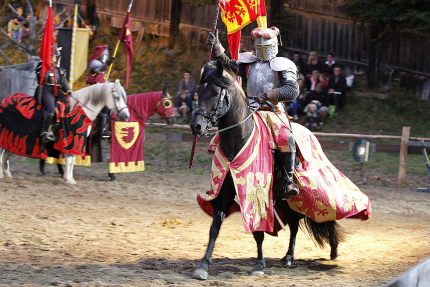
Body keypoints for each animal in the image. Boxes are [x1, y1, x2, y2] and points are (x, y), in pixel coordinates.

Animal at [188, 61, 346, 282]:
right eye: (198, 91)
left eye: (214, 93)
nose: (196, 126)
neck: (238, 138)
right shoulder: (226, 190)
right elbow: (215, 225)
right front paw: (203, 266)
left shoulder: (256, 191)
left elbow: (258, 230)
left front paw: (259, 264)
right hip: (286, 199)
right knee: (294, 223)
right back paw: (289, 256)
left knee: (321, 216)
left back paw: (329, 250)